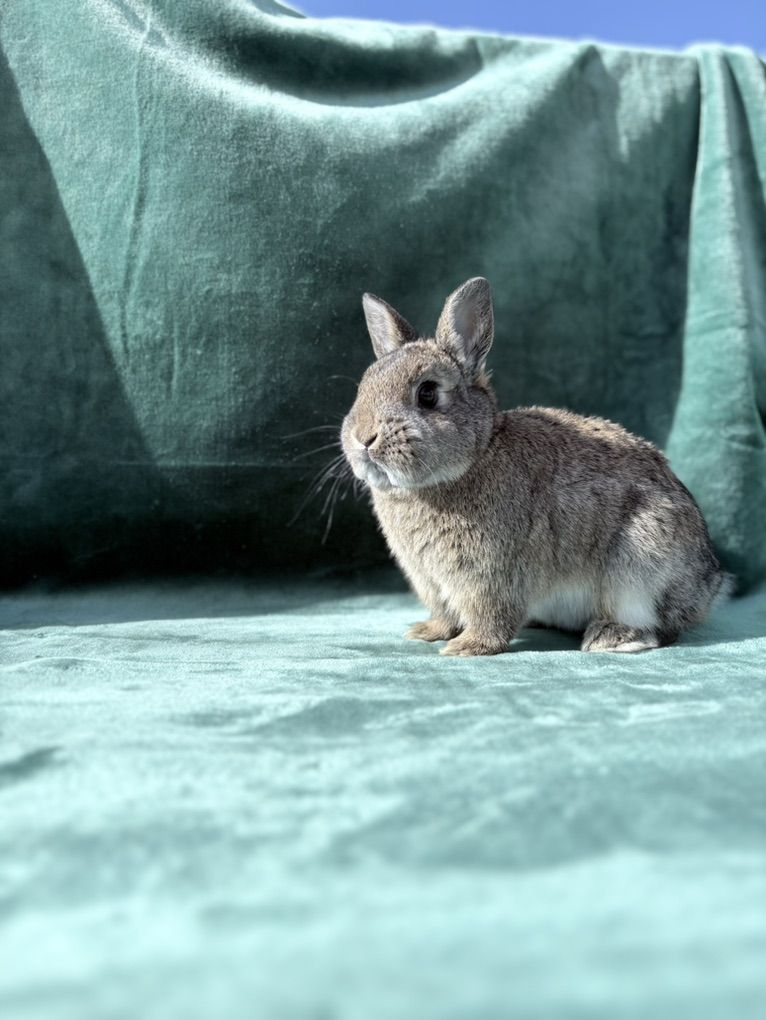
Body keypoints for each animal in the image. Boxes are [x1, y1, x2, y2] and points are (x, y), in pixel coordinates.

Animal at [340, 277, 732, 656]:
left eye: (427, 394)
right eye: (364, 387)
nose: (363, 438)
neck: (476, 456)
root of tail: (710, 585)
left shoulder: (491, 576)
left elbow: (491, 617)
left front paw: (467, 647)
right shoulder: (432, 581)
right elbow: (445, 613)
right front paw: (428, 632)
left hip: (642, 566)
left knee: (665, 626)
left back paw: (613, 637)